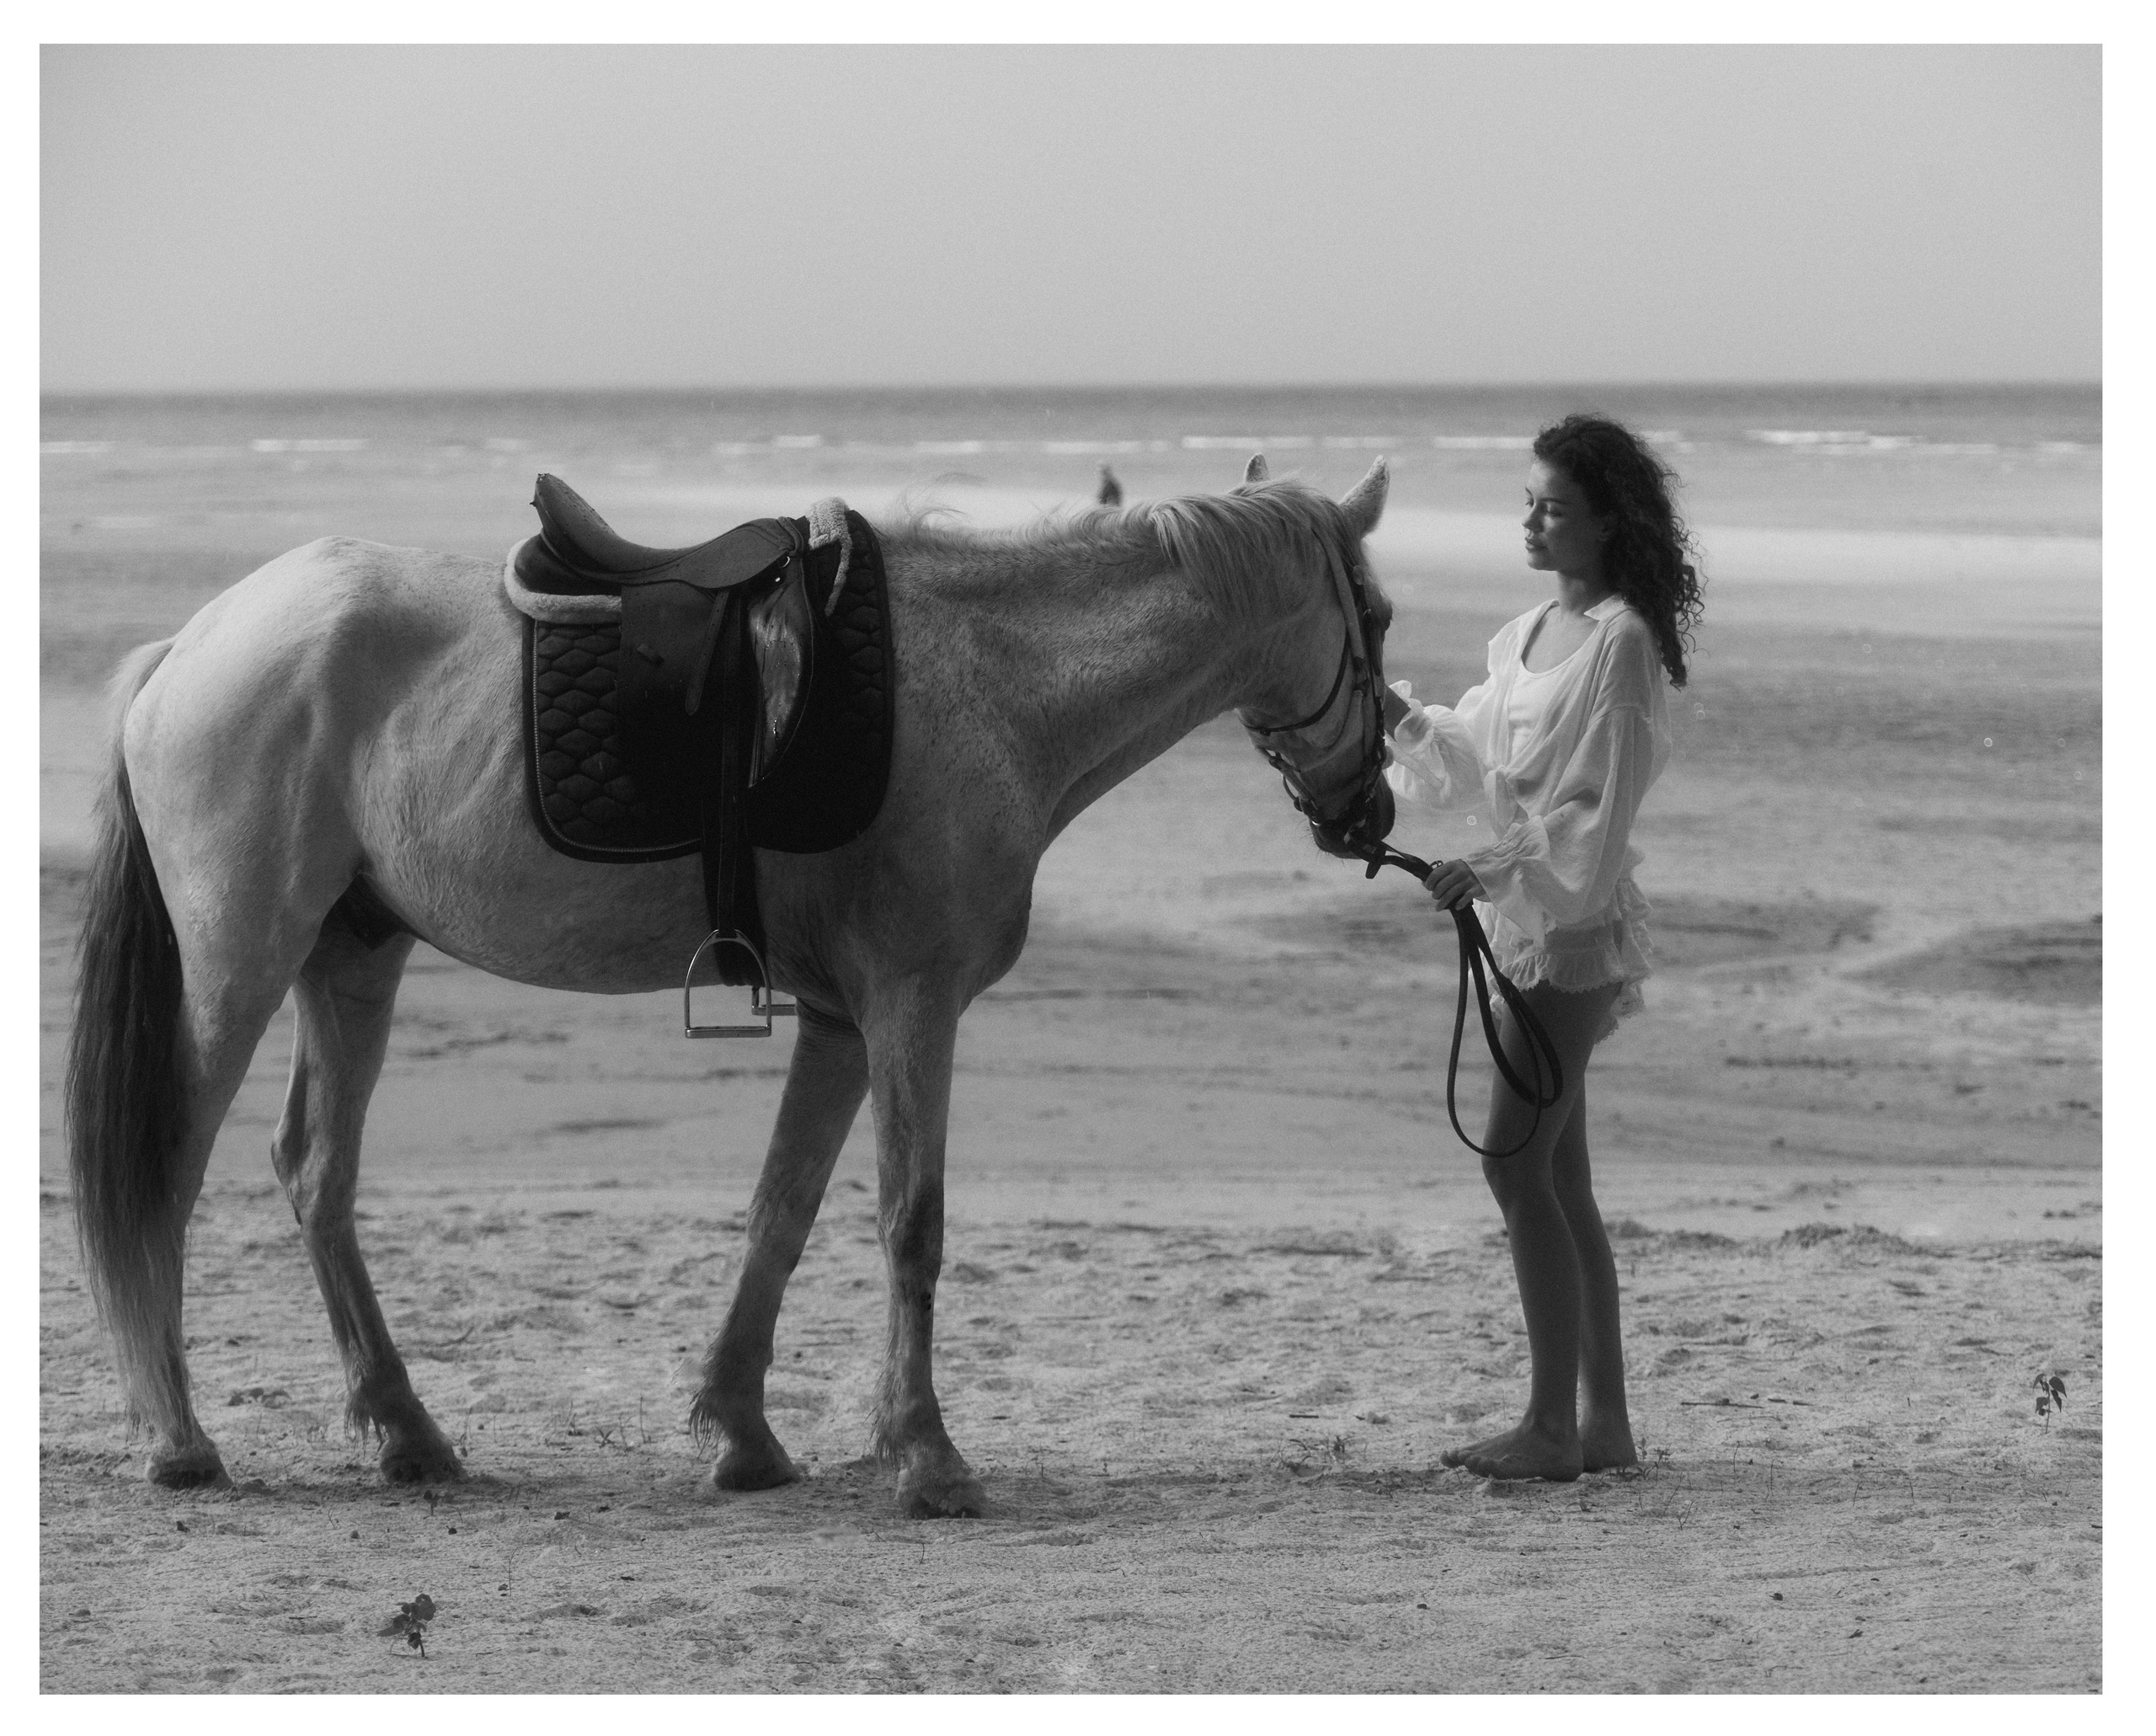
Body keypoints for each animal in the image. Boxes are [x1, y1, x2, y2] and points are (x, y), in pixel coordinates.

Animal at [64, 454, 1396, 1517]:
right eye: (1377, 614)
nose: (1370, 813)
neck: (988, 683)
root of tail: (192, 646)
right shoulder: (912, 1004)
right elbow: (912, 1220)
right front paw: (926, 1458)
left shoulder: (843, 1021)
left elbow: (783, 1210)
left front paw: (743, 1433)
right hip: (239, 965)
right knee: (168, 1167)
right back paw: (176, 1439)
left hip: (352, 959)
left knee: (316, 1172)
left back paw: (406, 1432)